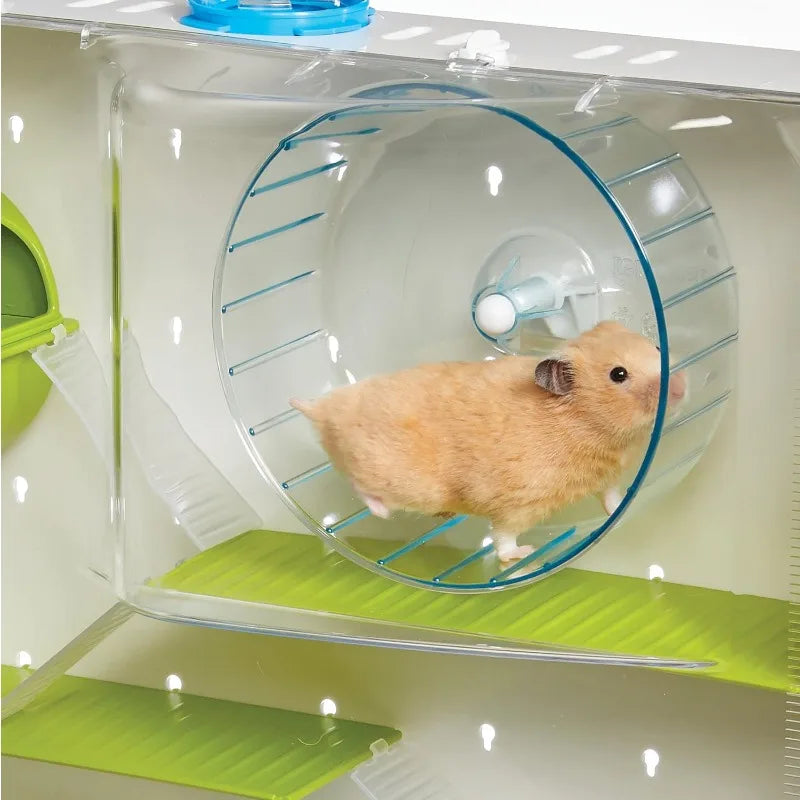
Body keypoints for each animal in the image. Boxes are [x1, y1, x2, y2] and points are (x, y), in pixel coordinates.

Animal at [291, 321, 687, 565]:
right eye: (618, 375)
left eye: (658, 345)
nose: (681, 388)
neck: (586, 427)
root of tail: (321, 408)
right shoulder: (518, 505)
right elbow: (503, 538)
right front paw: (523, 553)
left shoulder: (605, 477)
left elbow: (612, 498)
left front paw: (622, 511)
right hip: (386, 474)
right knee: (359, 486)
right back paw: (383, 511)